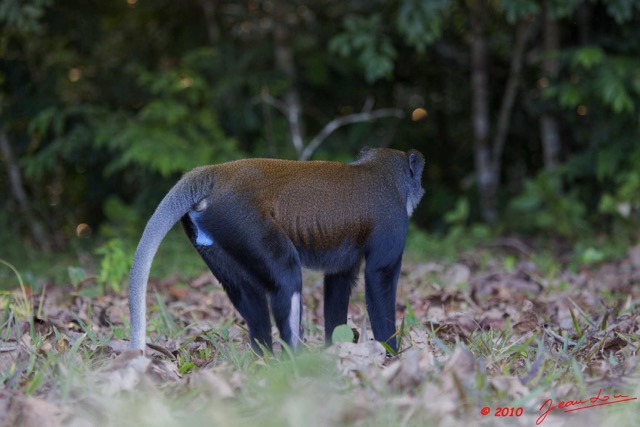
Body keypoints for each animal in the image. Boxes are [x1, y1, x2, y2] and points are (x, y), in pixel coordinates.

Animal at [127, 147, 424, 354]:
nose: (421, 188)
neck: (380, 171)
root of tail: (219, 172)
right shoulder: (393, 223)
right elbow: (379, 277)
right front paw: (391, 353)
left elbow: (338, 282)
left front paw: (335, 350)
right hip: (243, 222)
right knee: (286, 274)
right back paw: (294, 360)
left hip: (219, 232)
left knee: (245, 290)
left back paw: (264, 359)